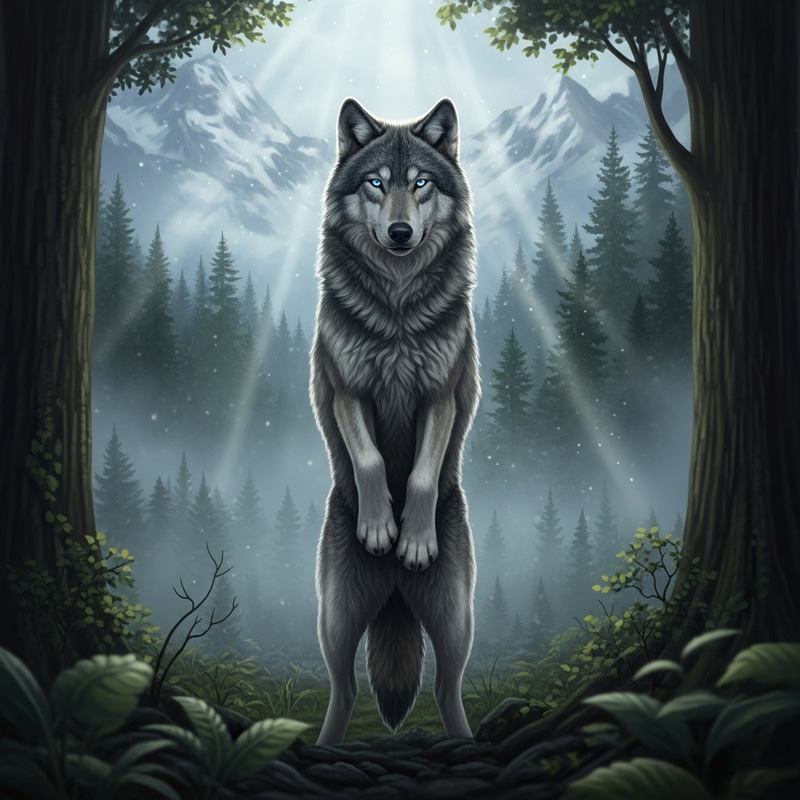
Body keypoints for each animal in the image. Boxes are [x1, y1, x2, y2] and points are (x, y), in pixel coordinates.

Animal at [310, 97, 480, 745]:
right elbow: (371, 459)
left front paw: (411, 539)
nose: (401, 232)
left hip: (456, 619)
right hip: (335, 619)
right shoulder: (347, 391)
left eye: (421, 183)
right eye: (377, 183)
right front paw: (383, 528)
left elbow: (422, 475)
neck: (399, 305)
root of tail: (394, 597)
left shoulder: (441, 396)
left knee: (446, 689)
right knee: (345, 689)